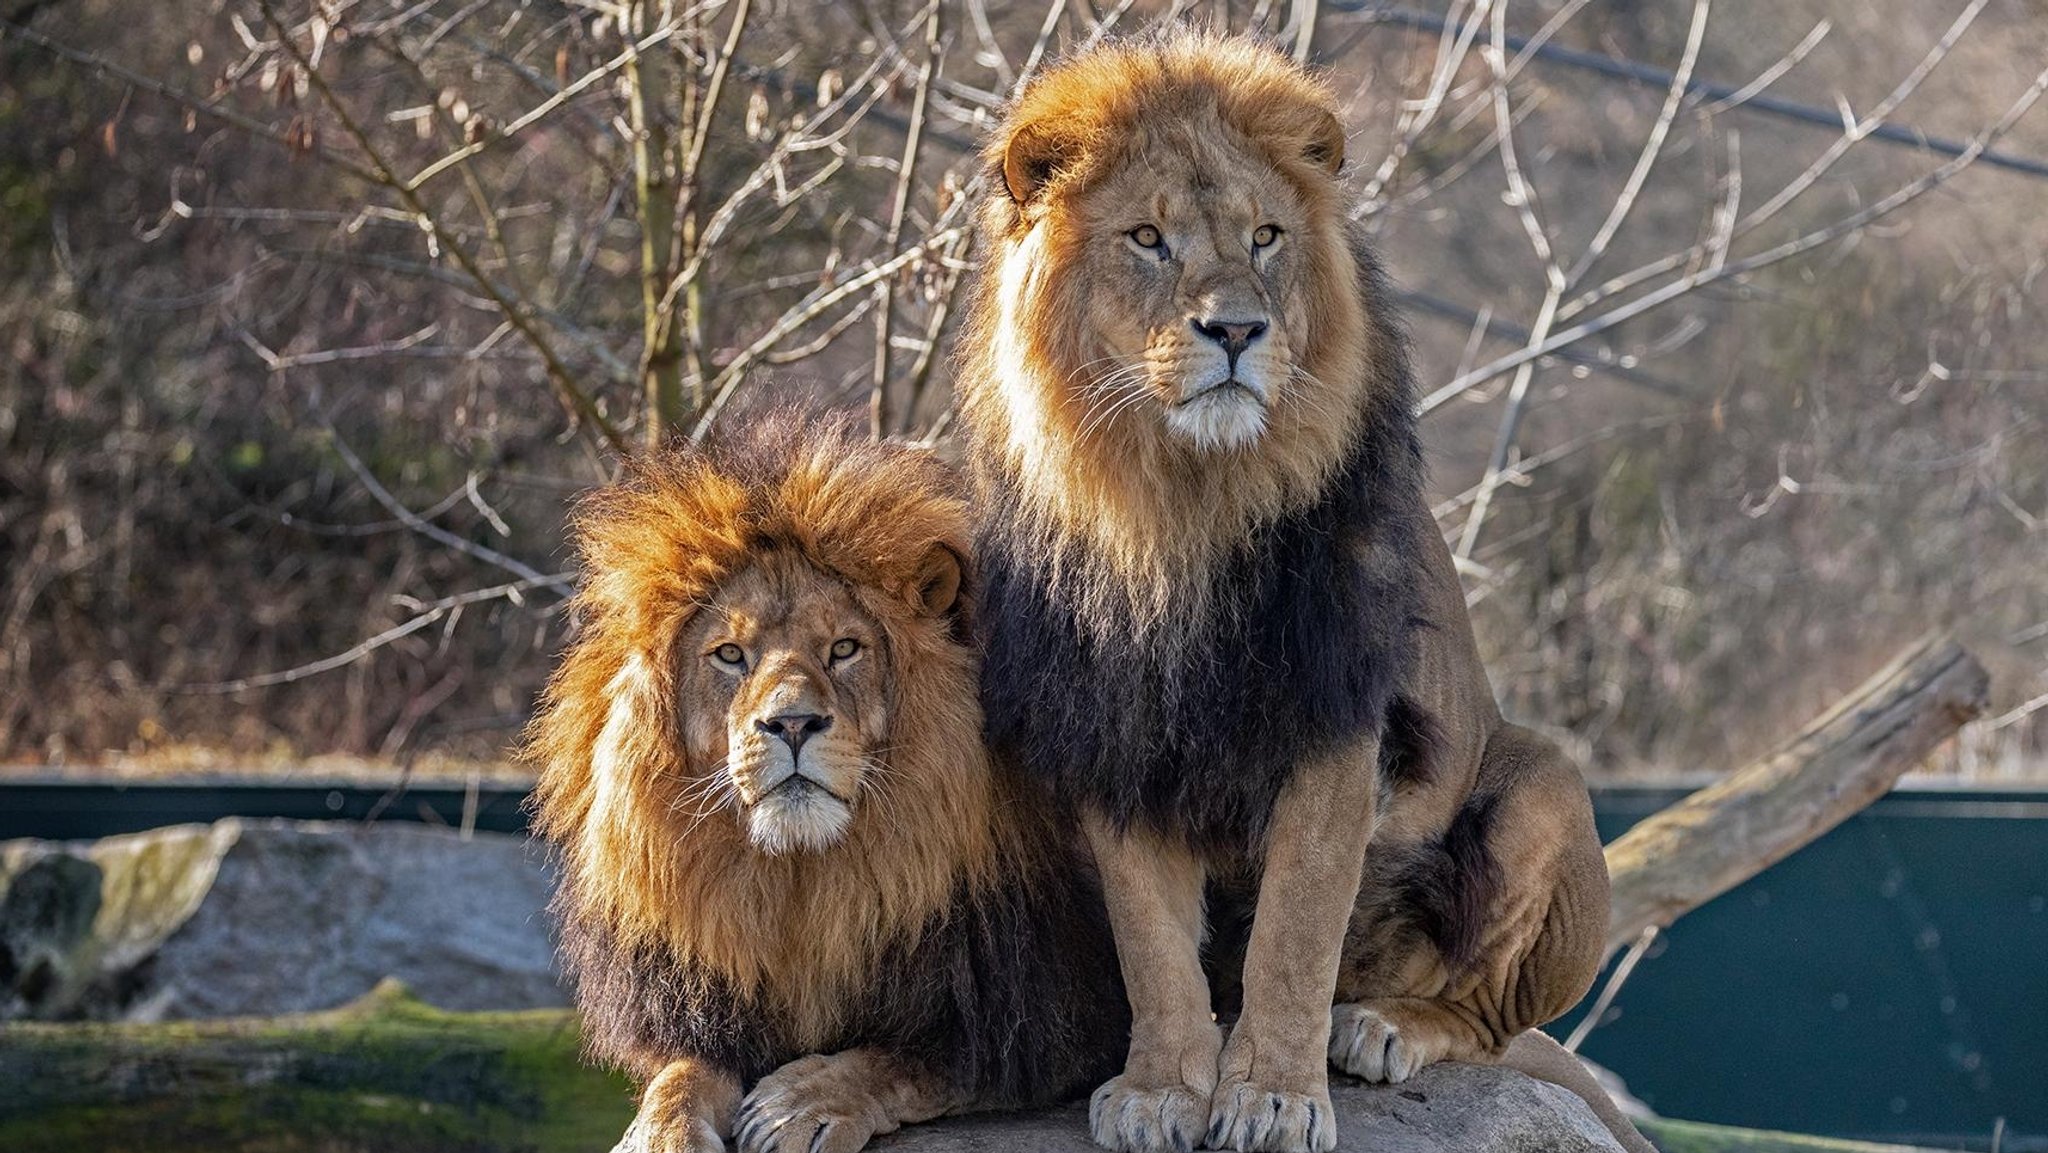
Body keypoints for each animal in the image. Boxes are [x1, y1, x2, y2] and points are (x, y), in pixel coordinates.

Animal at [528, 423, 1130, 1153]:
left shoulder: (1055, 1014)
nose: (791, 722)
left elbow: (905, 1061)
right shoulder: (708, 1008)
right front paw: (661, 1132)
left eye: (844, 649)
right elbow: (681, 1074)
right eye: (731, 656)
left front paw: (800, 1102)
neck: (808, 883)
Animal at [958, 31, 1646, 1153]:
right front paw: (1162, 1086)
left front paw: (1274, 1096)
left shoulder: (1335, 721)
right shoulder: (1113, 728)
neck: (1181, 506)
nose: (1236, 330)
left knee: (1487, 1019)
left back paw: (1381, 1027)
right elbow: (1151, 940)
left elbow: (1295, 928)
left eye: (1266, 236)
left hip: (1543, 785)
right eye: (1147, 238)